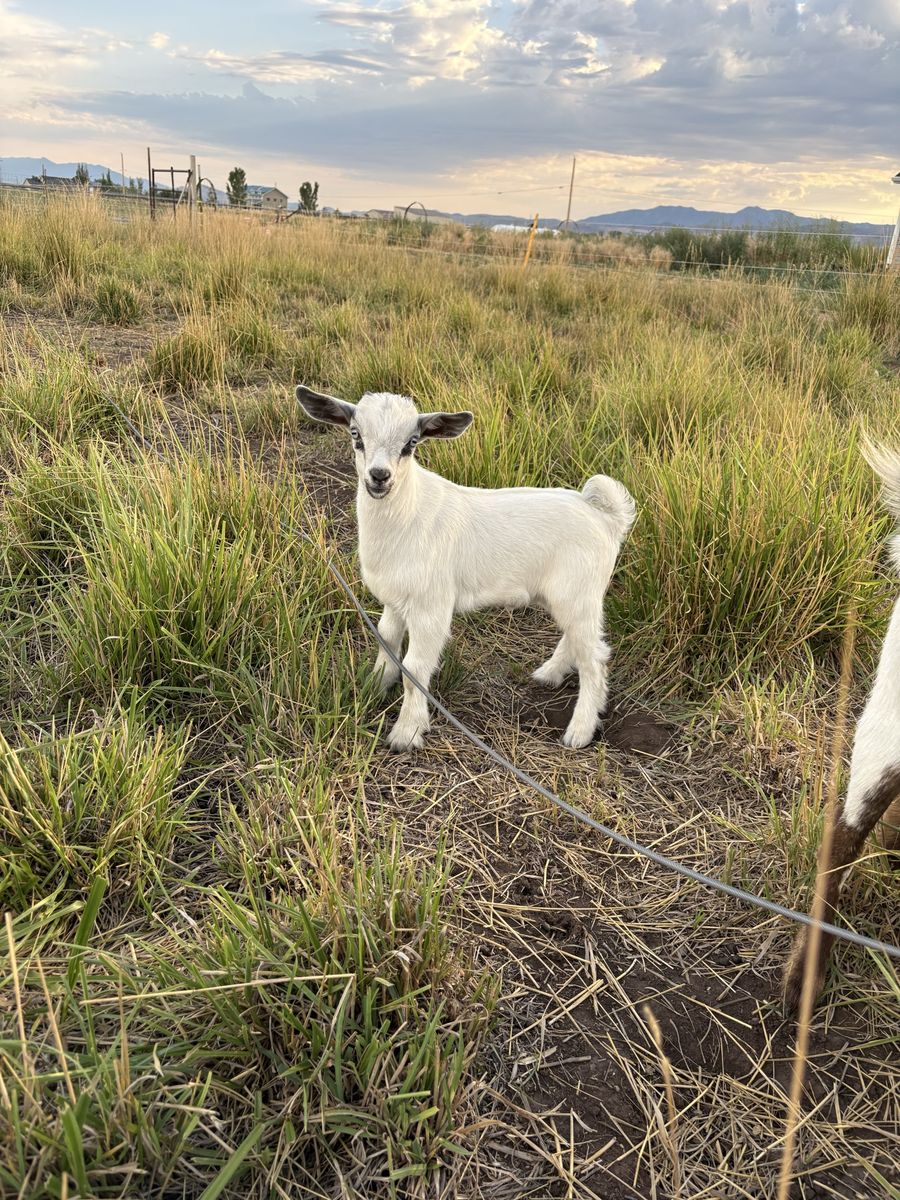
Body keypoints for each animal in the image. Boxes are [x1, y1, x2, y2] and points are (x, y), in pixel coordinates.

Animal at [297, 385, 635, 752]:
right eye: (355, 434)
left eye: (411, 443)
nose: (379, 476)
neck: (407, 514)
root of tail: (606, 518)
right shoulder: (395, 599)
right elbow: (386, 641)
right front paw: (375, 686)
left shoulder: (431, 605)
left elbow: (415, 669)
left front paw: (407, 732)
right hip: (567, 595)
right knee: (575, 638)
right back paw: (549, 673)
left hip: (578, 591)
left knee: (594, 658)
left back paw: (580, 731)